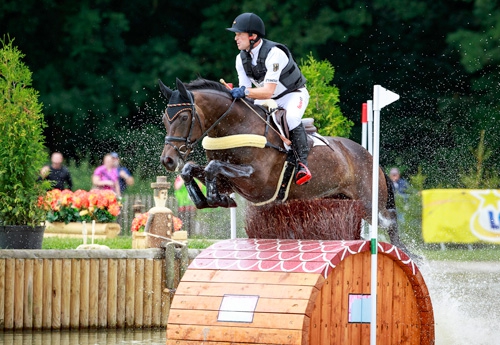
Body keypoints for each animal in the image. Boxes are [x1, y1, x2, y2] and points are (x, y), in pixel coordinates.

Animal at [159, 78, 410, 253]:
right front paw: (207, 199)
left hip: (369, 202)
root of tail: (370, 157)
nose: (168, 160)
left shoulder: (257, 183)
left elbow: (212, 166)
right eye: (164, 118)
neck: (235, 126)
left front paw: (215, 198)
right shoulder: (229, 182)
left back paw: (405, 253)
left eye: (183, 117)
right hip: (339, 199)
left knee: (390, 219)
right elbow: (192, 169)